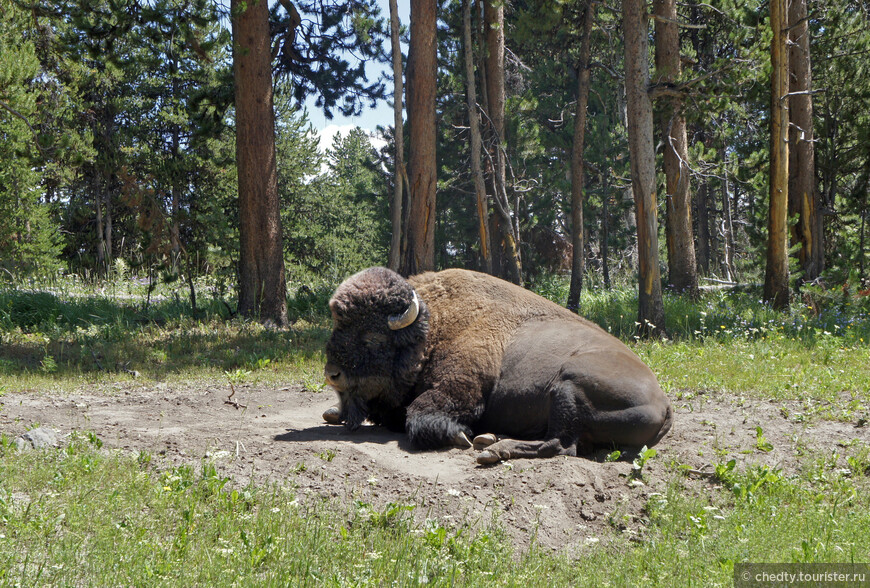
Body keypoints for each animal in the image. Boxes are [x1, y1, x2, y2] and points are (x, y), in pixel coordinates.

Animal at [324, 266, 672, 464]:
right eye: (336, 327)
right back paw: (490, 440)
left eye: (372, 337)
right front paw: (333, 413)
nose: (332, 374)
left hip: (569, 384)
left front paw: (460, 436)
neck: (433, 326)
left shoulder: (459, 387)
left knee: (560, 445)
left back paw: (492, 449)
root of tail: (664, 402)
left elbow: (423, 414)